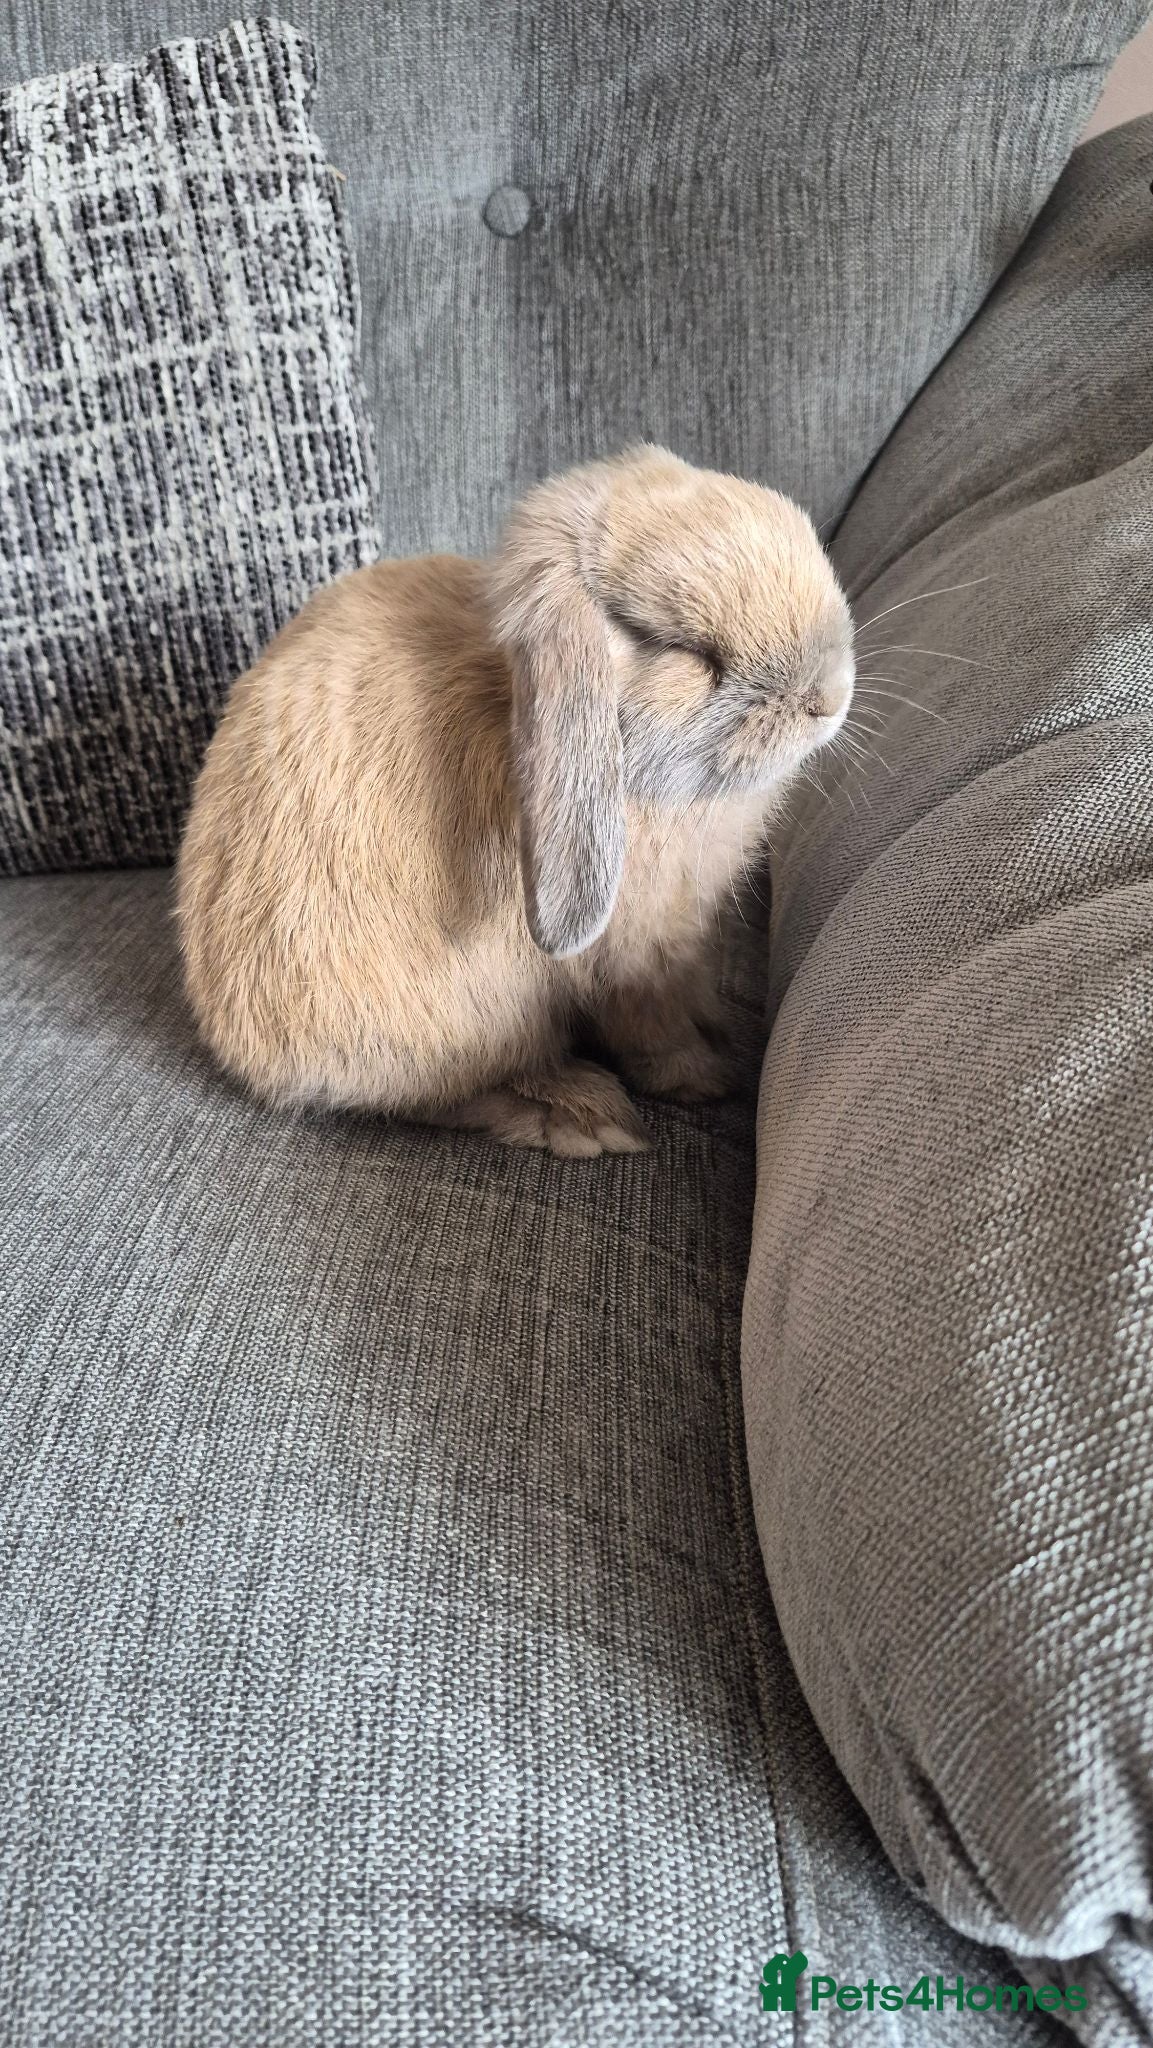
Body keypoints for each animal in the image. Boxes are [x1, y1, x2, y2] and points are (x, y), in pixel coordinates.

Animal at [176, 445, 854, 1157]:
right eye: (682, 650)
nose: (828, 699)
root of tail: (234, 1036)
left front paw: (716, 1035)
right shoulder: (633, 955)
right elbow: (652, 1027)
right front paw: (703, 1078)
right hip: (449, 1026)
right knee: (438, 1096)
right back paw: (582, 1116)